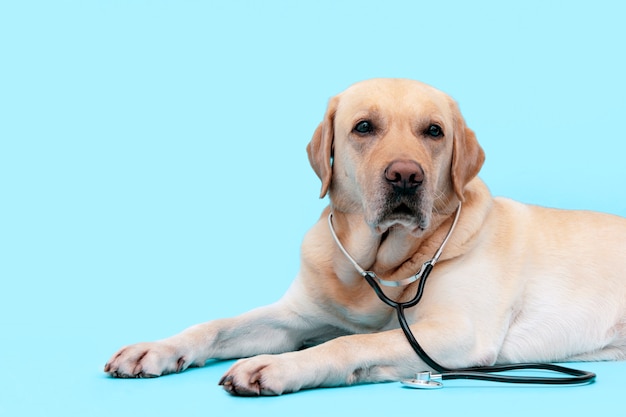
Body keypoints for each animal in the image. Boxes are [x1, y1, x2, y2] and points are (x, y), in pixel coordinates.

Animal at [105, 77, 624, 394]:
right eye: (363, 127)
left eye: (434, 131)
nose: (406, 176)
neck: (379, 262)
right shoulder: (295, 317)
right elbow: (216, 325)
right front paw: (155, 349)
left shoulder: (455, 332)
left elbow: (350, 344)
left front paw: (278, 366)